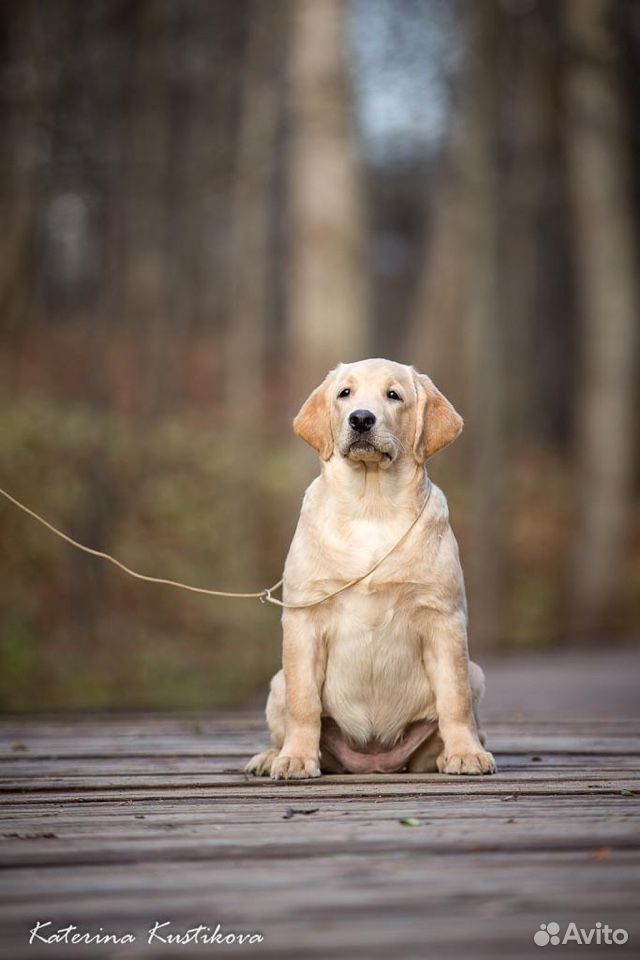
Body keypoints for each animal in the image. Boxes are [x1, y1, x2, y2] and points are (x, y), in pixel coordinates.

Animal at [246, 360, 496, 780]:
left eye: (393, 395)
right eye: (344, 393)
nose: (361, 418)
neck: (371, 506)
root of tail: (375, 761)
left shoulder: (443, 618)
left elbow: (454, 698)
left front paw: (465, 754)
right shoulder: (304, 619)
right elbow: (304, 702)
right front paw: (296, 758)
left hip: (475, 673)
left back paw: (452, 754)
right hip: (277, 682)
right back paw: (270, 756)